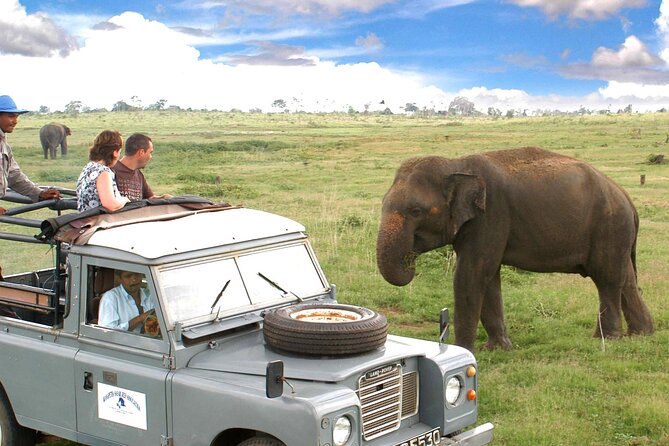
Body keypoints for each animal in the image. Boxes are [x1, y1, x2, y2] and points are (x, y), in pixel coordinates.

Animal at [376, 147, 654, 351]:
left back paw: (606, 340)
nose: (410, 260)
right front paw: (497, 349)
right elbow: (489, 278)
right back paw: (642, 334)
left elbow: (471, 274)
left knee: (607, 279)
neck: (456, 164)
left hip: (609, 227)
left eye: (416, 211)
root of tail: (627, 199)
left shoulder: (491, 216)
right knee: (626, 280)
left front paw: (464, 351)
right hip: (617, 235)